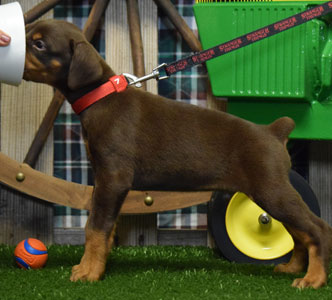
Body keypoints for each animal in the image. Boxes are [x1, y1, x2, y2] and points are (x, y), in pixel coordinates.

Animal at [24, 20, 332, 288]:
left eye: (39, 44)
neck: (100, 97)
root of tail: (273, 131)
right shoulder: (106, 182)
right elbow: (106, 228)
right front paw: (94, 266)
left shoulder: (113, 179)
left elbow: (95, 228)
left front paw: (89, 273)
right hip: (270, 193)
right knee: (299, 232)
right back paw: (293, 267)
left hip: (271, 190)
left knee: (317, 228)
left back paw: (313, 279)